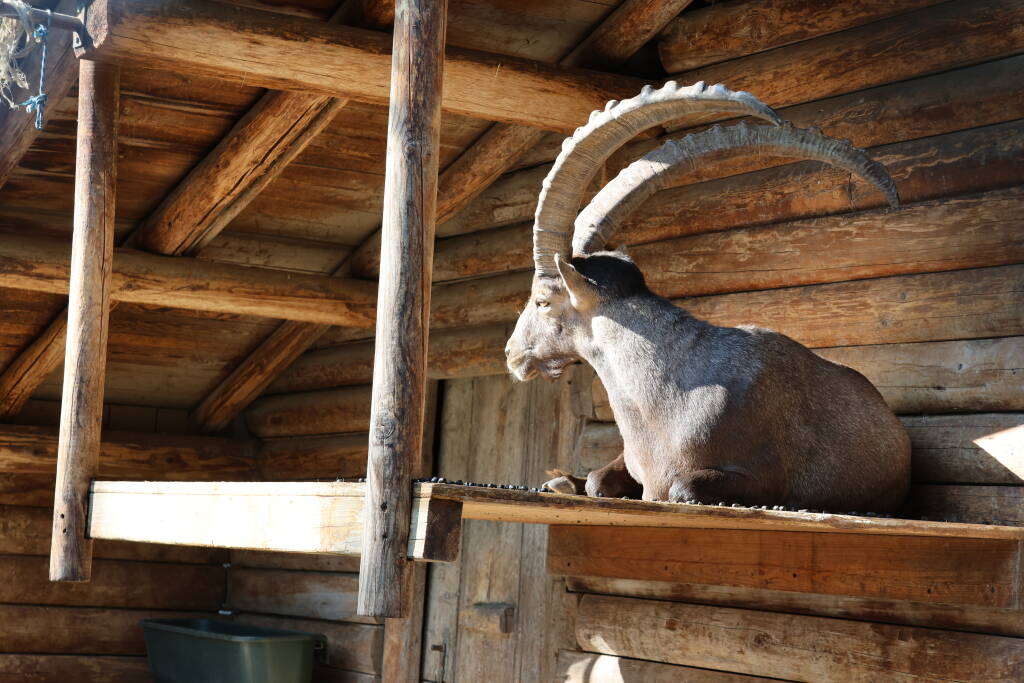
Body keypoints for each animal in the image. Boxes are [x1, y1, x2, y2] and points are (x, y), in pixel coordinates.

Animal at [504, 82, 911, 511]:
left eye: (542, 300)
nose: (512, 354)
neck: (669, 397)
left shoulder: (765, 478)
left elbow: (682, 488)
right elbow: (600, 480)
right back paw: (562, 481)